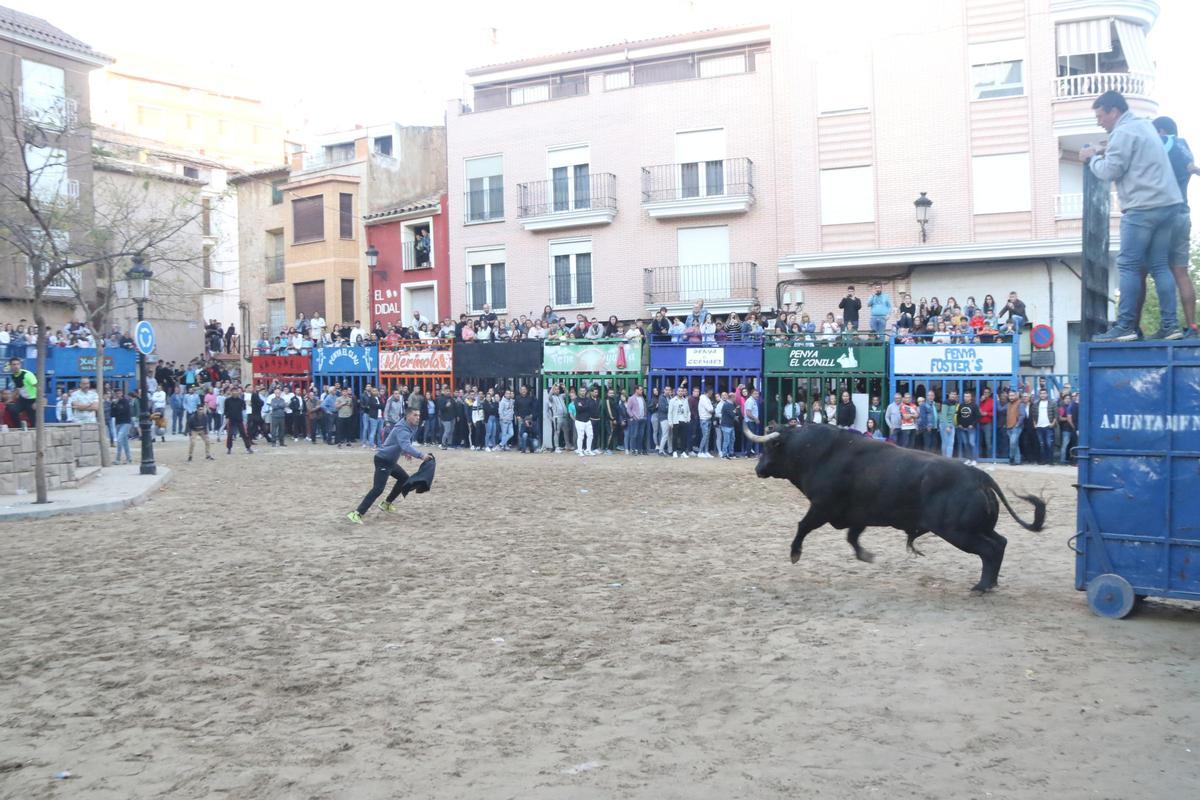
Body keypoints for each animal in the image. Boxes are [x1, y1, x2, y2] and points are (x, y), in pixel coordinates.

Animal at [744, 424, 1046, 594]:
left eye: (770, 447)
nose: (758, 469)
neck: (815, 452)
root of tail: (979, 476)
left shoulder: (821, 507)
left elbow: (803, 526)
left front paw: (795, 553)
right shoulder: (858, 515)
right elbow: (852, 537)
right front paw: (866, 556)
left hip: (959, 533)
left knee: (990, 550)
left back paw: (982, 586)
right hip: (976, 529)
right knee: (1000, 543)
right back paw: (990, 583)